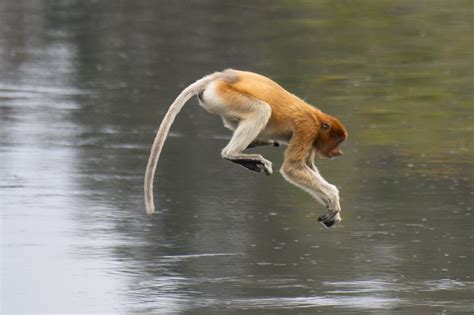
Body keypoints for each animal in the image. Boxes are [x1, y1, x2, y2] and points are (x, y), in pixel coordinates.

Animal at [144, 69, 348, 227]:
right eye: (337, 141)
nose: (338, 152)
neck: (317, 118)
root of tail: (221, 77)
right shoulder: (307, 128)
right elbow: (293, 167)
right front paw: (333, 198)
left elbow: (307, 165)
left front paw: (333, 211)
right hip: (226, 96)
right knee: (261, 110)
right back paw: (236, 154)